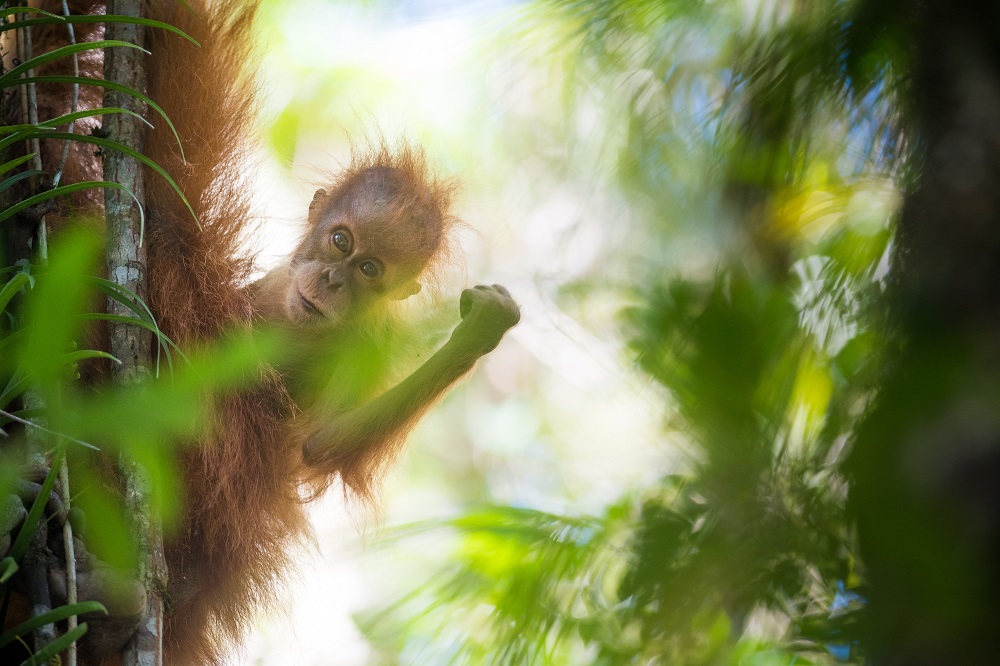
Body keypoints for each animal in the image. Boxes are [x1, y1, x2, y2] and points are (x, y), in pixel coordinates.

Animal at [1, 1, 520, 664]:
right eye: (341, 240)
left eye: (370, 271)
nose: (331, 280)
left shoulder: (364, 347)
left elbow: (321, 444)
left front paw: (480, 331)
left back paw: (98, 597)